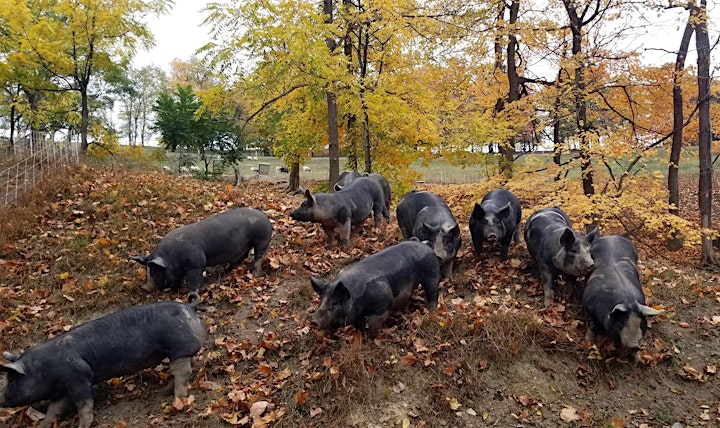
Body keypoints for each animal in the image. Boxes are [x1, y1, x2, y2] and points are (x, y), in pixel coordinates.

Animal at [1, 300, 207, 428]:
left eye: (12, 380)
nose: (1, 398)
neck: (42, 369)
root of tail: (190, 306)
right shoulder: (63, 389)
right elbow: (54, 409)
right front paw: (43, 425)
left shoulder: (79, 377)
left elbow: (84, 404)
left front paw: (82, 426)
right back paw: (165, 391)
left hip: (178, 348)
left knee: (182, 372)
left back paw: (177, 400)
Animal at [132, 206, 272, 300]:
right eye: (146, 269)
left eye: (155, 270)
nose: (144, 287)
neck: (171, 258)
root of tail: (260, 211)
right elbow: (178, 281)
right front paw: (172, 291)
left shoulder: (196, 265)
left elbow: (193, 282)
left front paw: (190, 295)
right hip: (246, 245)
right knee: (242, 256)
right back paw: (226, 270)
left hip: (261, 238)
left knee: (259, 256)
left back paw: (255, 274)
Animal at [310, 241, 442, 338]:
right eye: (320, 300)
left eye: (335, 303)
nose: (314, 321)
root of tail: (425, 245)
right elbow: (360, 326)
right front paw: (362, 337)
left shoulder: (382, 307)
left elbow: (373, 326)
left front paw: (371, 339)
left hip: (432, 273)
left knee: (433, 292)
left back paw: (432, 313)